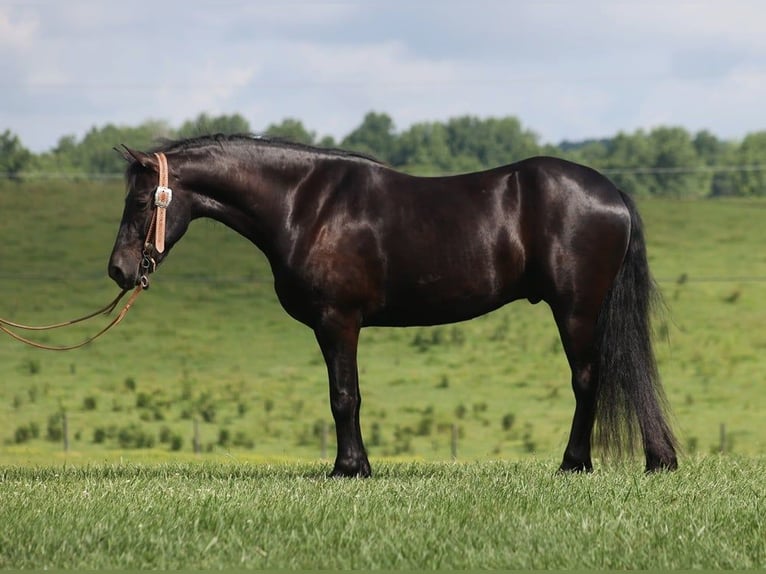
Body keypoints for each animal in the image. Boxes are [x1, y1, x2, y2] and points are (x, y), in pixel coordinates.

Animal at [108, 134, 678, 477]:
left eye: (139, 202)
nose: (118, 270)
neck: (306, 205)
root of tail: (611, 192)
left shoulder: (337, 321)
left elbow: (344, 397)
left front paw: (348, 469)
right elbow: (348, 396)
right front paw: (356, 466)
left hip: (576, 310)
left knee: (587, 380)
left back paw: (574, 463)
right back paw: (655, 459)